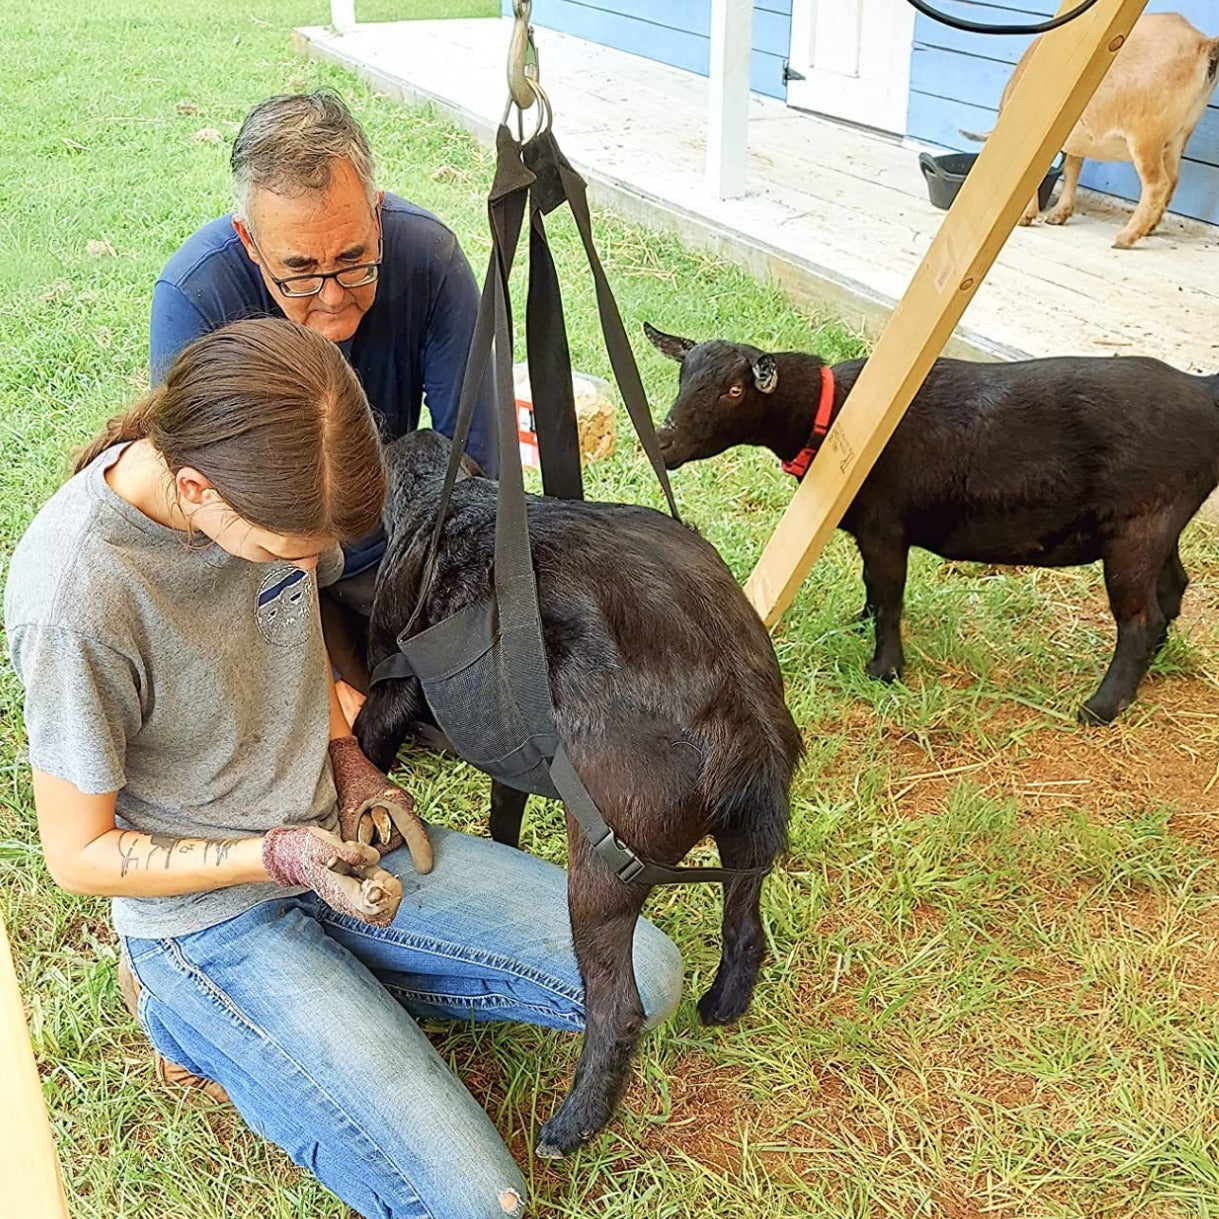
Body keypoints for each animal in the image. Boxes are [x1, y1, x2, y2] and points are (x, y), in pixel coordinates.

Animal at [648, 321, 1219, 721]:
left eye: (734, 391)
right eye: (682, 376)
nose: (664, 443)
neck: (836, 415)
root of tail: (1202, 393)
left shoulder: (885, 525)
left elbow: (889, 593)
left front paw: (884, 669)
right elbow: (872, 588)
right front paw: (859, 623)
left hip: (1138, 526)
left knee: (1140, 617)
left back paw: (1102, 707)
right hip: (1159, 522)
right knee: (1172, 588)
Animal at [975, 13, 1219, 247]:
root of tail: (1203, 44)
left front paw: (1026, 215)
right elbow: (1072, 167)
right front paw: (1059, 214)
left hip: (1146, 135)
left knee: (1158, 183)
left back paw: (1125, 238)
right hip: (1178, 136)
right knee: (1173, 179)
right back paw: (1149, 228)